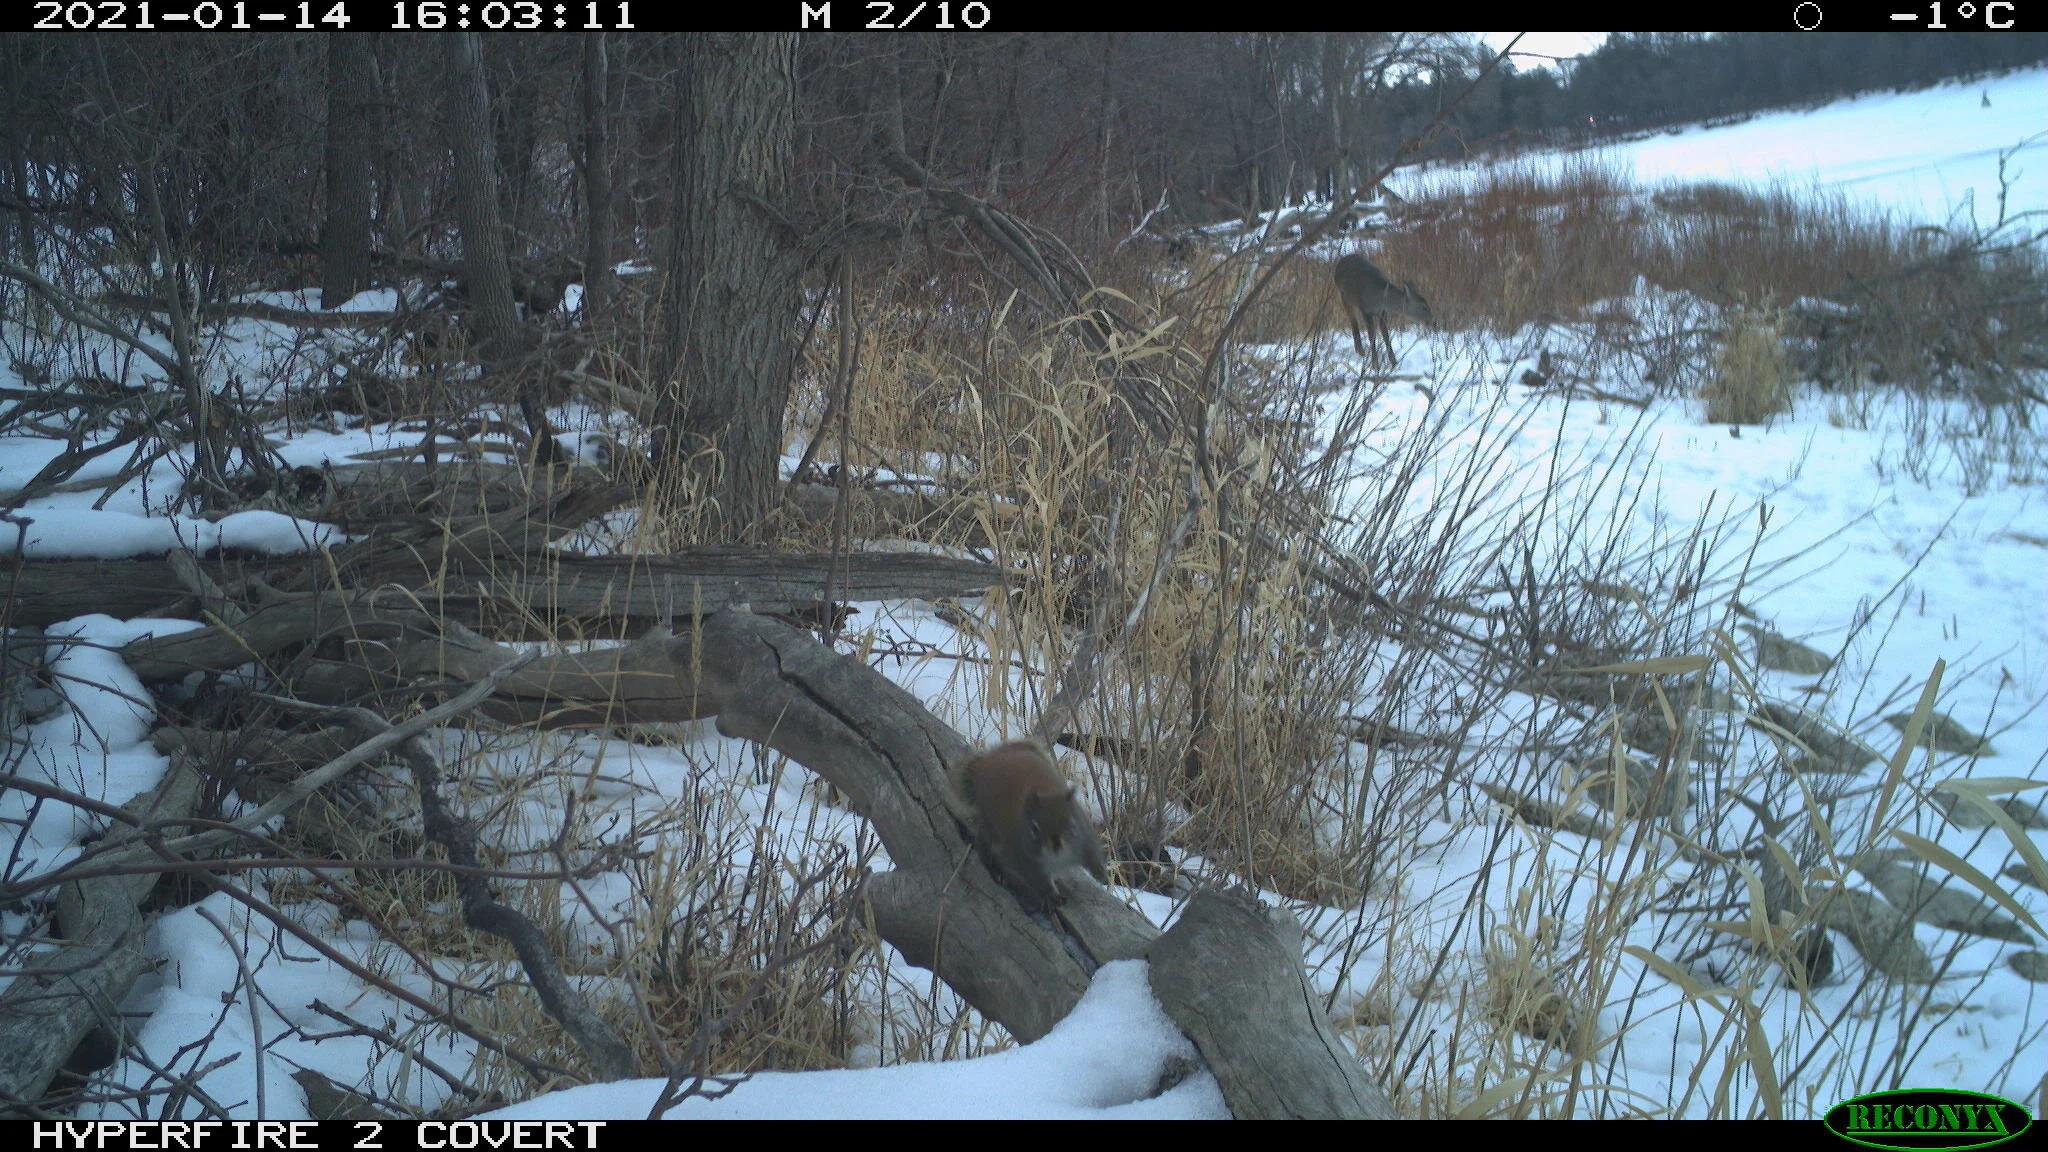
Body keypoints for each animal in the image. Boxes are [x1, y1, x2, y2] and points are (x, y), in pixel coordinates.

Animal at [953, 741, 1108, 911]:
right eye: (1034, 829)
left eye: (1072, 824)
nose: (1055, 845)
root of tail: (988, 764)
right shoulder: (1025, 859)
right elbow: (1039, 881)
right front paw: (1051, 896)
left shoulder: (1086, 839)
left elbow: (1092, 856)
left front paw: (1101, 873)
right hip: (990, 826)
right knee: (984, 842)